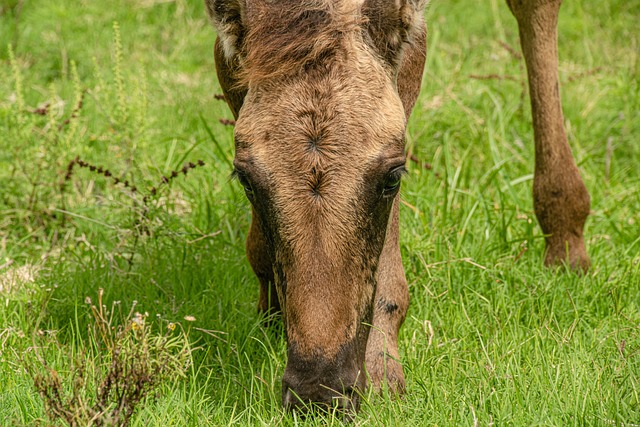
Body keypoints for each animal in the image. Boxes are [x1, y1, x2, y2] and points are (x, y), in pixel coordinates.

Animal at [205, 0, 592, 414]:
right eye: (245, 179)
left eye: (392, 177)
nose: (319, 391)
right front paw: (273, 308)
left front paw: (382, 365)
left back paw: (566, 238)